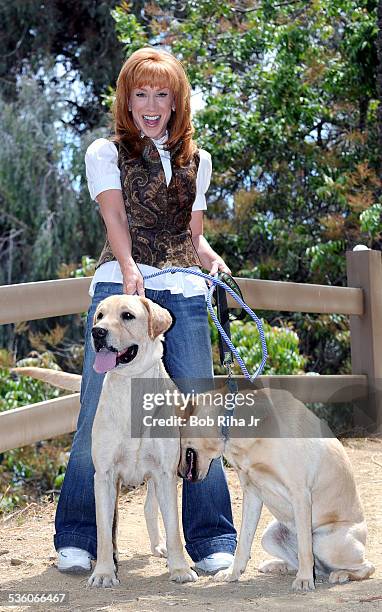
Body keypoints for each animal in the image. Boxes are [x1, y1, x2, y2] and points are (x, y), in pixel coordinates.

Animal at [13, 296, 197, 588]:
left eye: (127, 315)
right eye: (99, 315)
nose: (97, 332)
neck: (132, 388)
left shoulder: (165, 473)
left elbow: (173, 527)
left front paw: (179, 568)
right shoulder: (105, 476)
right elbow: (102, 530)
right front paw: (103, 572)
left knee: (150, 507)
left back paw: (159, 547)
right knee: (116, 523)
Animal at [178, 388, 374, 592]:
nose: (179, 473)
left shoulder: (300, 493)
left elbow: (304, 550)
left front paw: (304, 580)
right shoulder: (252, 494)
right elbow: (243, 543)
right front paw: (233, 573)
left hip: (326, 542)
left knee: (366, 566)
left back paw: (341, 574)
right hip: (269, 537)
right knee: (310, 565)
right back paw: (278, 565)